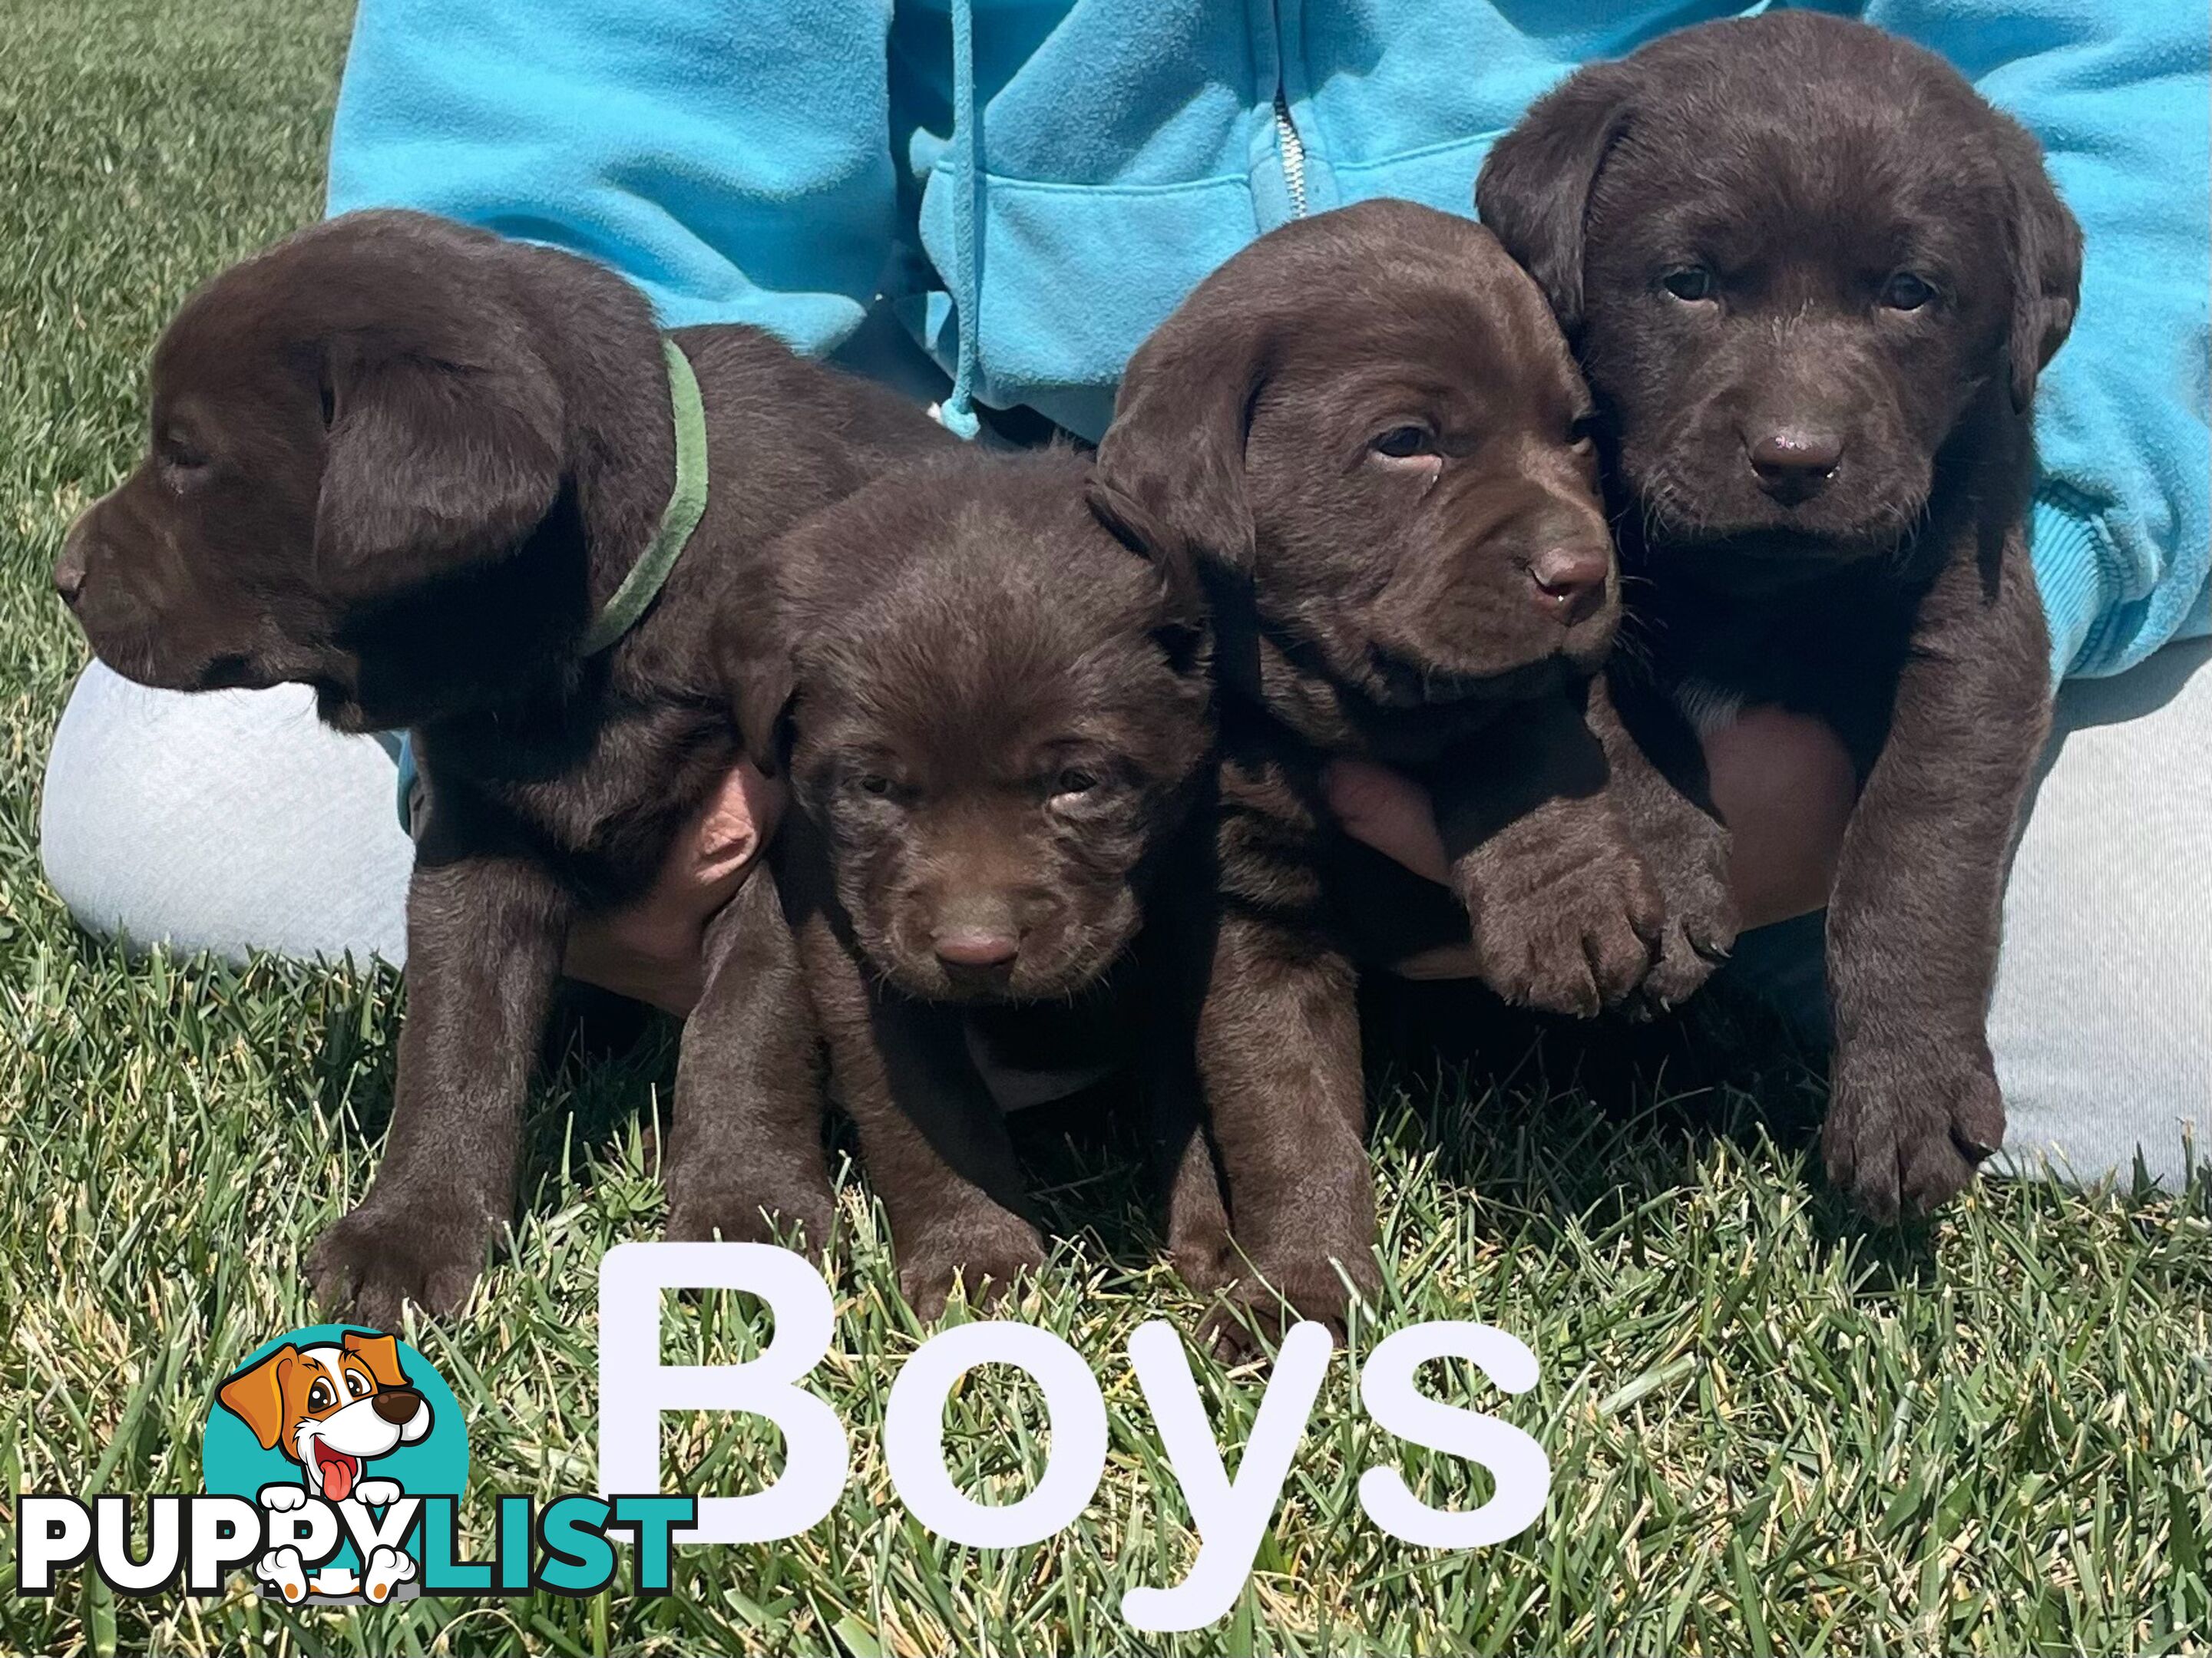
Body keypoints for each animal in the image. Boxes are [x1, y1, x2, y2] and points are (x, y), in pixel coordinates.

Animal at [60, 211, 951, 1326]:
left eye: (186, 455)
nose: (60, 574)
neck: (591, 642)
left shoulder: (792, 842)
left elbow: (750, 1027)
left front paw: (742, 1219)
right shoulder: (476, 832)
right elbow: (457, 1042)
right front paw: (410, 1231)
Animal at [752, 448, 1221, 1317]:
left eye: (1077, 782)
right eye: (873, 787)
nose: (975, 954)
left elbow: (1196, 1089)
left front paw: (1220, 1241)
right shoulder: (855, 947)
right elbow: (928, 1102)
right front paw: (975, 1260)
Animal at [1088, 207, 1672, 1352]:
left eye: (1578, 431)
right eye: (1405, 442)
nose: (1583, 574)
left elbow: (1510, 720)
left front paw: (1564, 903)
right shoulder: (1251, 919)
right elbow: (1287, 1118)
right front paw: (1301, 1292)